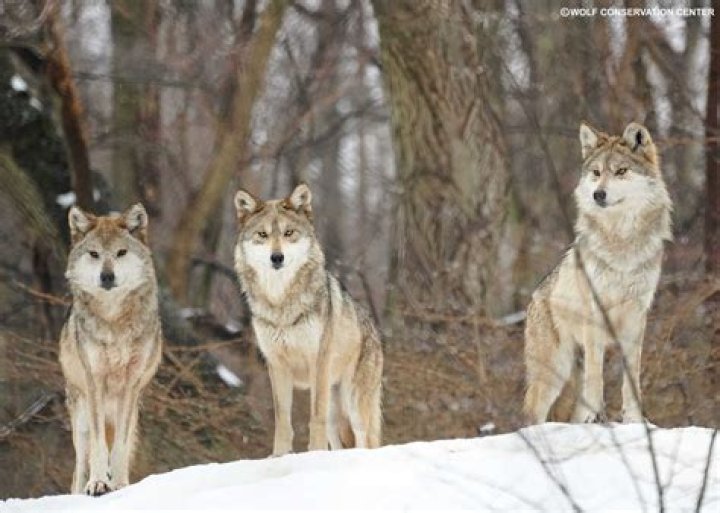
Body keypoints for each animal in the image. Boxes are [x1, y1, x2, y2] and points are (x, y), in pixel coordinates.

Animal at [59, 204, 162, 495]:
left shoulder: (130, 385)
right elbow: (98, 447)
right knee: (79, 467)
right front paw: (98, 483)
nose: (107, 276)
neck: (114, 321)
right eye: (94, 254)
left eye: (121, 253)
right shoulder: (95, 381)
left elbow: (119, 448)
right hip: (81, 417)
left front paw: (118, 485)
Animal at [233, 183, 383, 455]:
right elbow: (283, 420)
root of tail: (375, 330)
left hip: (353, 404)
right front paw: (280, 455)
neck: (281, 304)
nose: (277, 257)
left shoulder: (318, 362)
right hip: (337, 417)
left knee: (365, 440)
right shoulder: (277, 366)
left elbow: (315, 417)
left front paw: (314, 452)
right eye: (262, 234)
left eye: (288, 232)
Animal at [524, 122, 672, 424]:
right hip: (555, 370)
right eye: (596, 173)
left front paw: (635, 421)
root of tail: (535, 296)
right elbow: (597, 376)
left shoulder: (636, 318)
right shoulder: (595, 315)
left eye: (621, 171)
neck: (621, 241)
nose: (598, 195)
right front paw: (597, 418)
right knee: (534, 411)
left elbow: (631, 379)